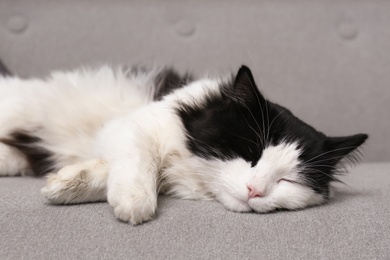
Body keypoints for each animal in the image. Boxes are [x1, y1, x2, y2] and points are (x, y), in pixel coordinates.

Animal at [0, 62, 368, 223]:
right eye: (250, 153)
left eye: (287, 181)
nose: (255, 191)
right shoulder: (130, 125)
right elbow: (141, 160)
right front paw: (134, 201)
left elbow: (107, 170)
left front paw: (64, 185)